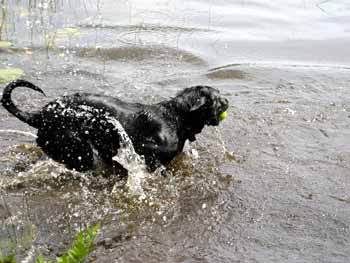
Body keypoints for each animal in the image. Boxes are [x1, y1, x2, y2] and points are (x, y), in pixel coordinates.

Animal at [1, 80, 230, 173]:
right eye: (218, 99)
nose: (228, 101)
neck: (176, 117)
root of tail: (40, 115)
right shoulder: (145, 150)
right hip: (78, 149)